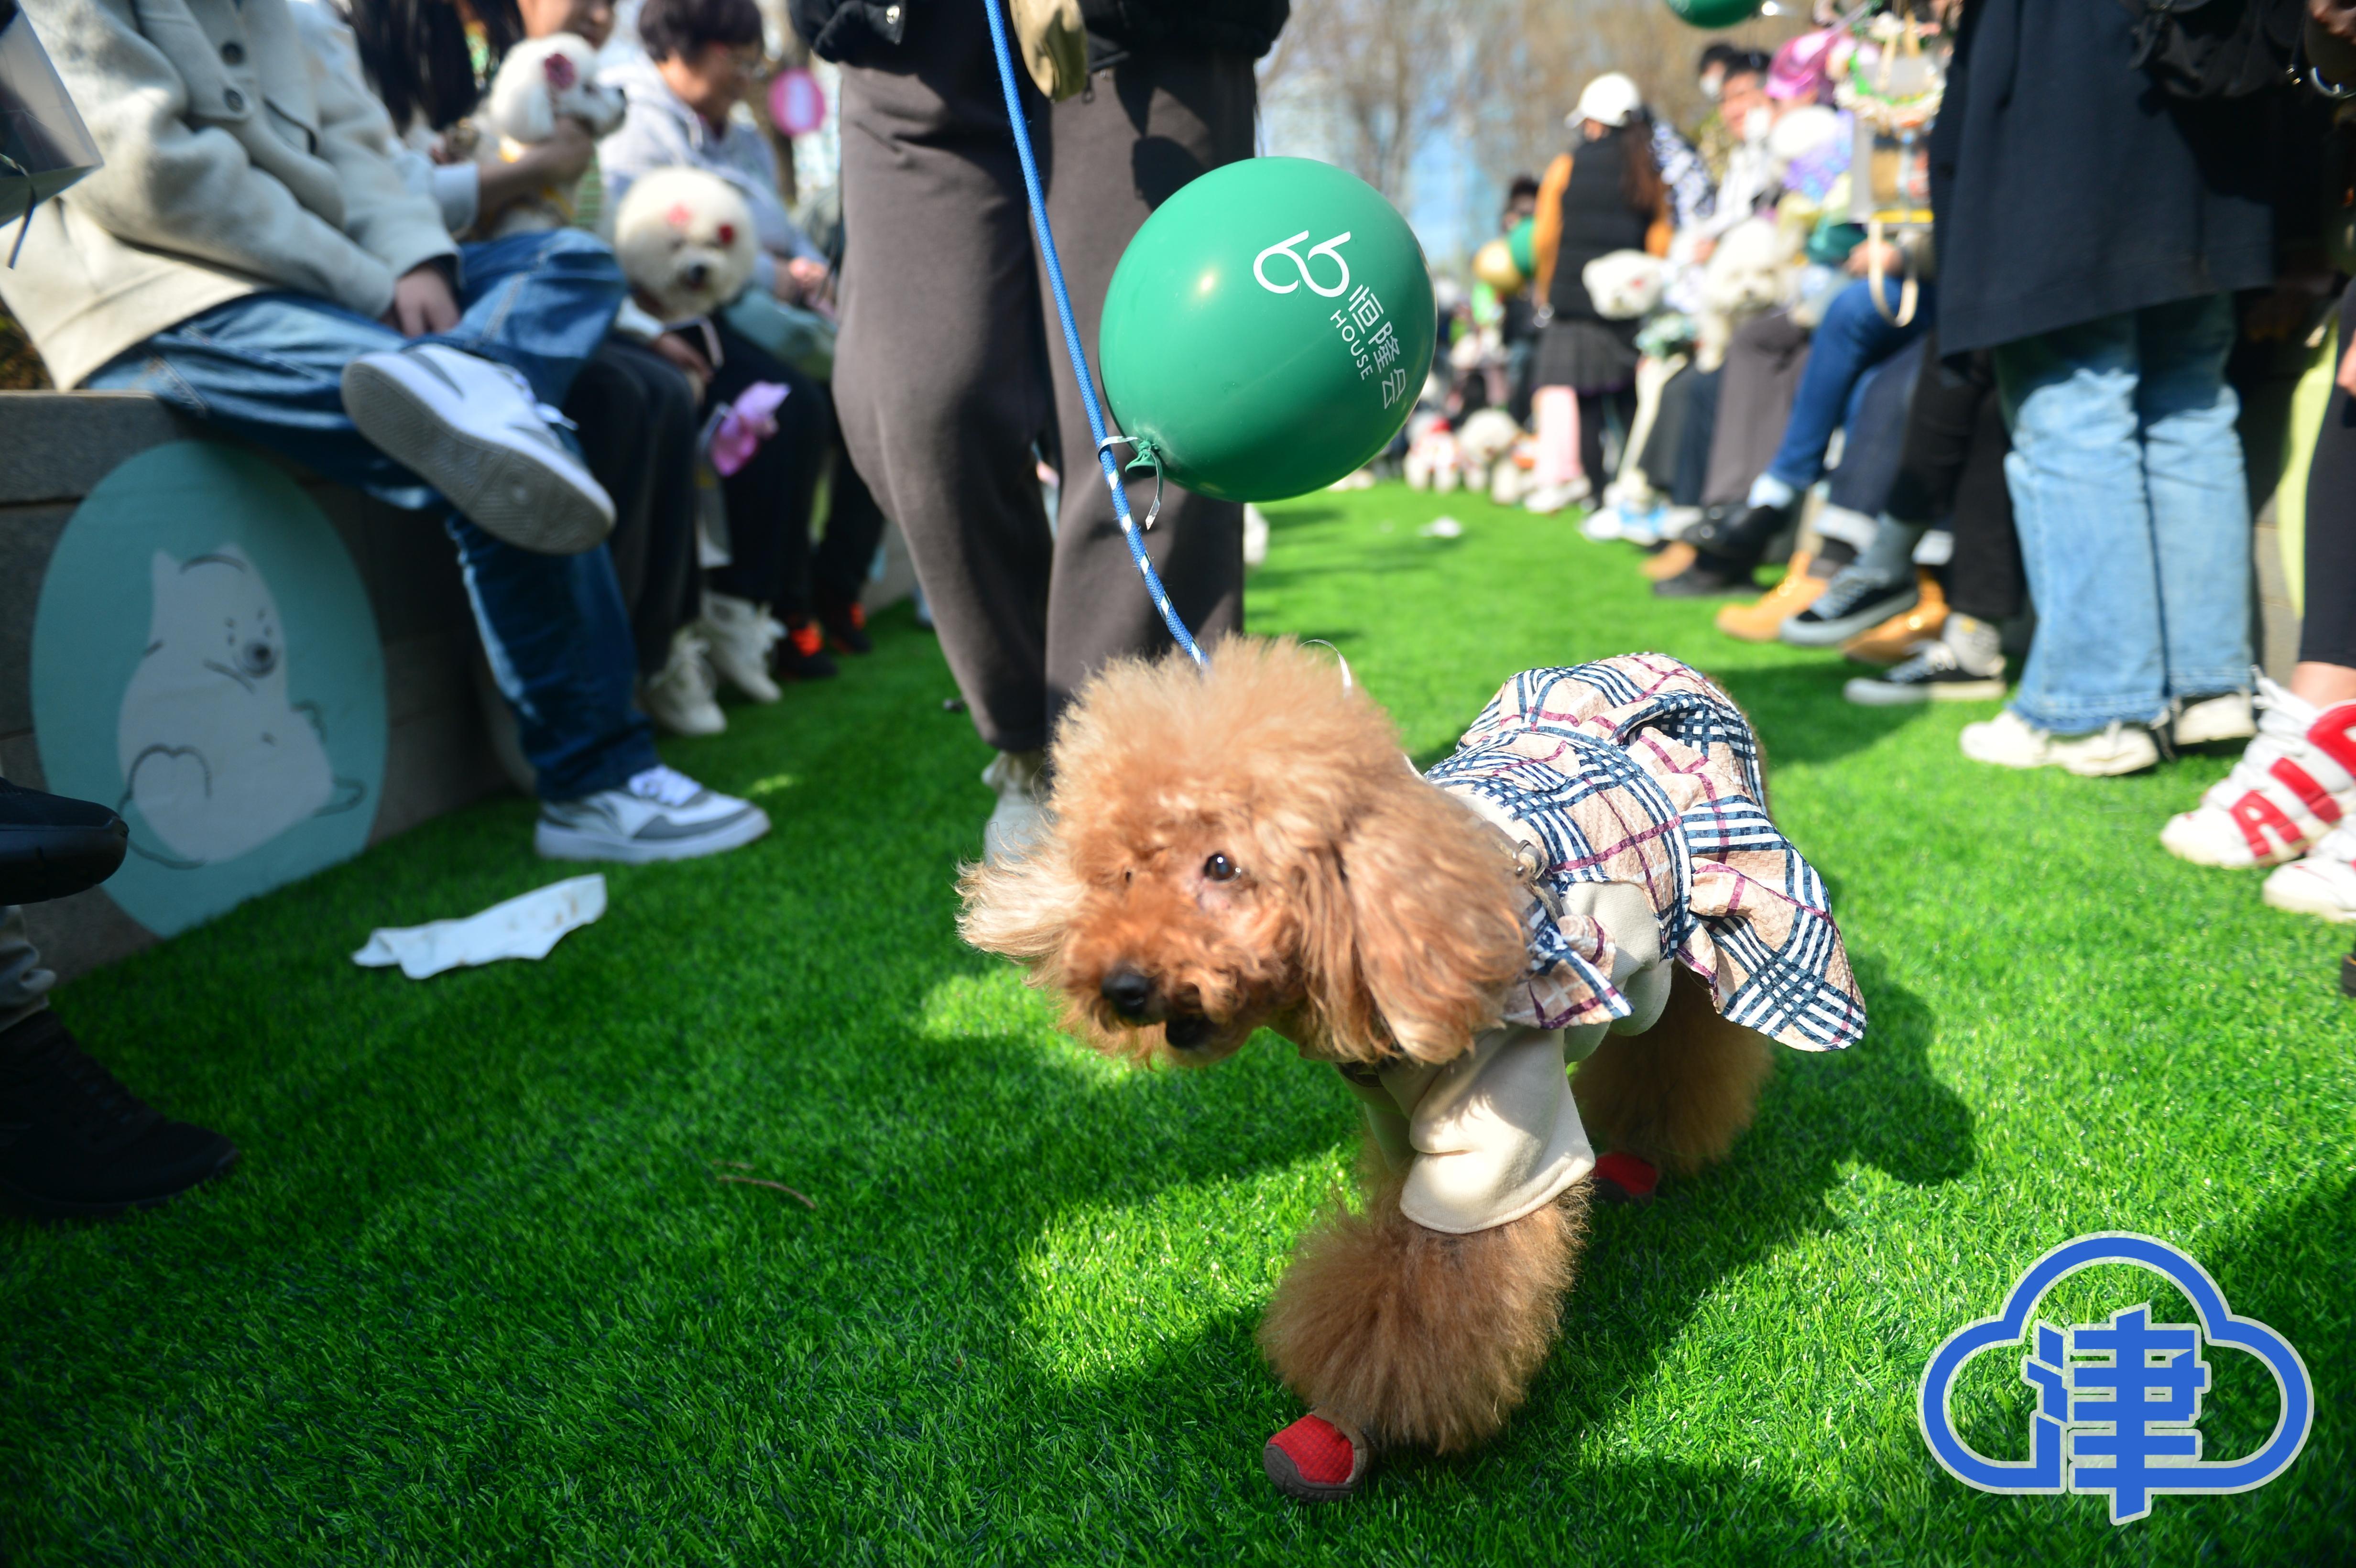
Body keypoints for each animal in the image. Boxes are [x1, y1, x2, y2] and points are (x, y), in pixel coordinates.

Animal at [956, 640, 1856, 1506]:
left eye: (1222, 865)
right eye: (1121, 873)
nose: (1120, 987)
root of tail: (1667, 669)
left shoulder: (1493, 1139)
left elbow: (1429, 1295)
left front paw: (1352, 1424)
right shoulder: (1394, 1122)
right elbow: (1393, 1248)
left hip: (1703, 942)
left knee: (1685, 1048)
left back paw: (1646, 1151)